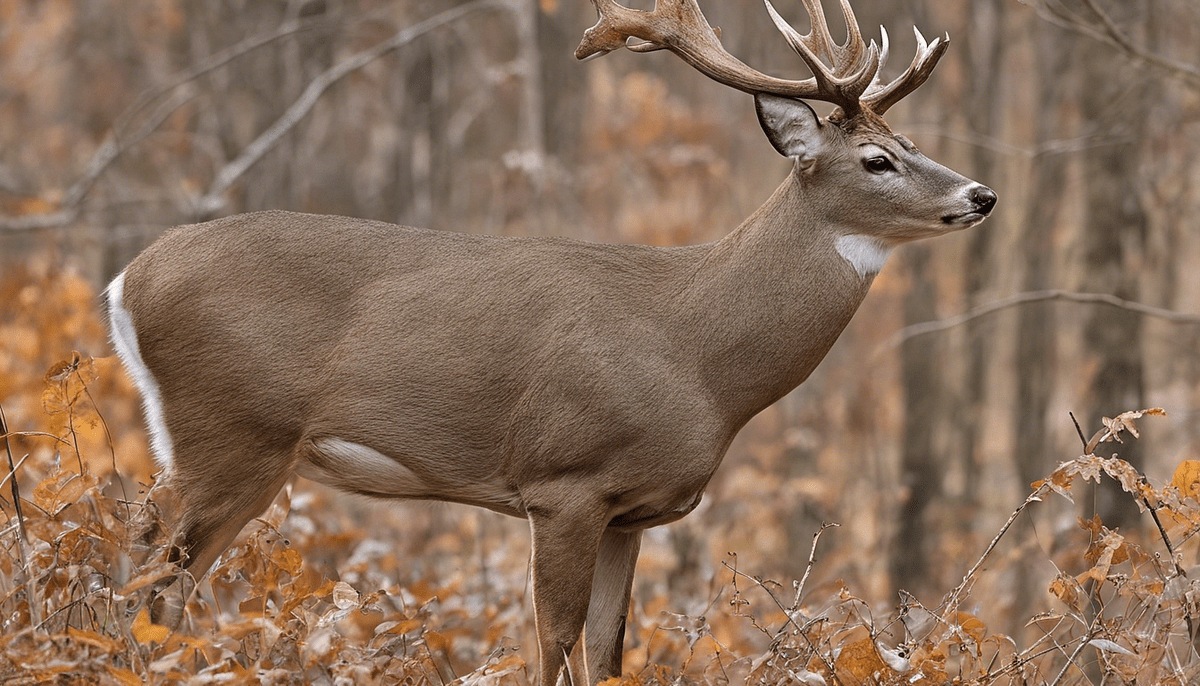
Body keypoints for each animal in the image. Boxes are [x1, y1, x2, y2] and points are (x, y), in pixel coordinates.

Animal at [105, 0, 995, 683]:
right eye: (877, 159)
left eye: (913, 143)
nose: (982, 194)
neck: (697, 357)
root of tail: (128, 280)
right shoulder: (564, 479)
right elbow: (553, 641)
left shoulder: (632, 512)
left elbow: (606, 651)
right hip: (232, 429)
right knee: (156, 565)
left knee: (150, 555)